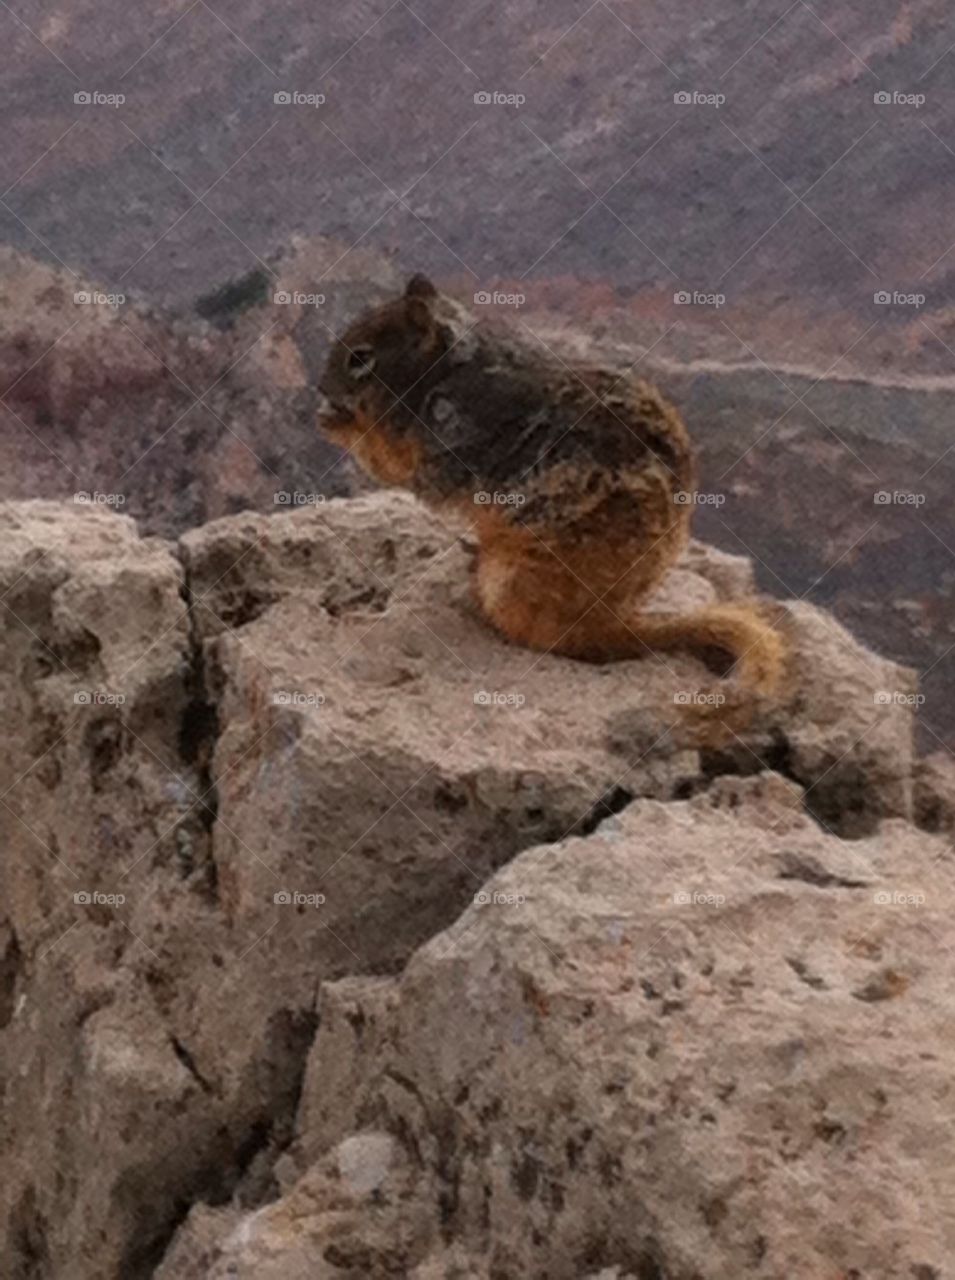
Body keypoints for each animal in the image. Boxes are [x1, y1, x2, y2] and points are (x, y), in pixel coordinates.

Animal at [316, 272, 783, 732]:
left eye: (361, 358)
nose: (320, 388)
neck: (443, 373)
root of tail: (615, 623)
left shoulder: (443, 438)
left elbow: (393, 463)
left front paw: (337, 422)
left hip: (511, 578)